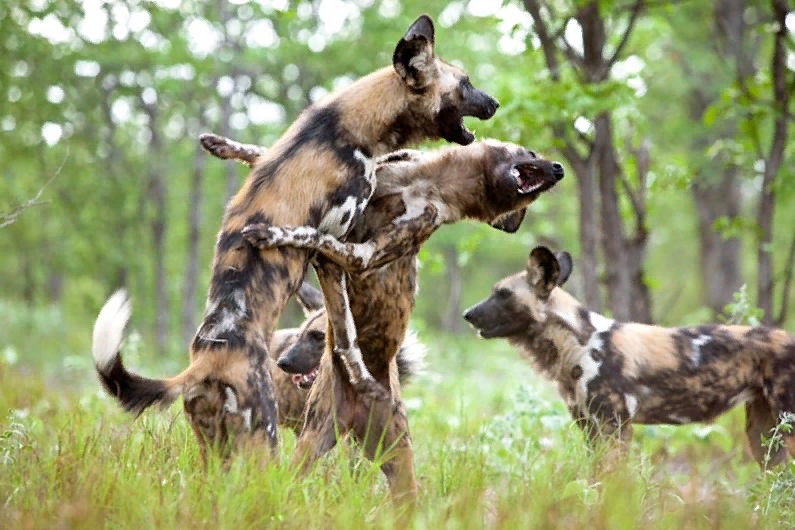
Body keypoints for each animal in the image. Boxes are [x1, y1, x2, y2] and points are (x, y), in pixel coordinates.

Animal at [91, 14, 498, 460]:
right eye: (465, 84)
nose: (495, 103)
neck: (343, 128)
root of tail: (199, 368)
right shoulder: (336, 251)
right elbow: (345, 335)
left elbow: (259, 152)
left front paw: (221, 144)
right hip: (262, 441)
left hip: (214, 453)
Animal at [205, 132, 564, 504]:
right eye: (531, 152)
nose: (559, 169)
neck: (434, 183)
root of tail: (356, 415)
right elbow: (264, 155)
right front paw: (223, 146)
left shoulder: (361, 255)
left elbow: (313, 234)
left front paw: (271, 233)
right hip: (310, 446)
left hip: (397, 465)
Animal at [464, 245, 795, 468]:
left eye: (503, 294)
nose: (467, 314)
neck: (576, 344)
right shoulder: (589, 427)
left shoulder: (613, 426)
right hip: (764, 435)